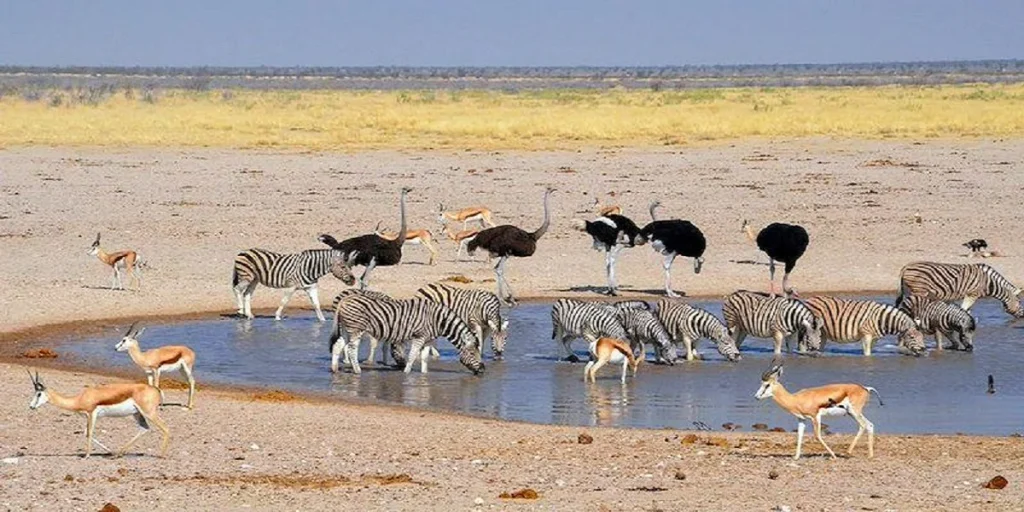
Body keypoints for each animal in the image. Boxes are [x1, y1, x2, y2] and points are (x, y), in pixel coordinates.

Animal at [330, 290, 484, 375]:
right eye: (472, 353)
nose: (483, 369)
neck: (439, 320)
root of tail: (345, 299)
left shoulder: (428, 339)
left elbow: (424, 358)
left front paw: (424, 374)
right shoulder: (419, 336)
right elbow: (412, 355)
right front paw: (406, 373)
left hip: (346, 329)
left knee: (338, 346)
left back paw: (334, 369)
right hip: (356, 329)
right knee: (351, 349)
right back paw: (357, 370)